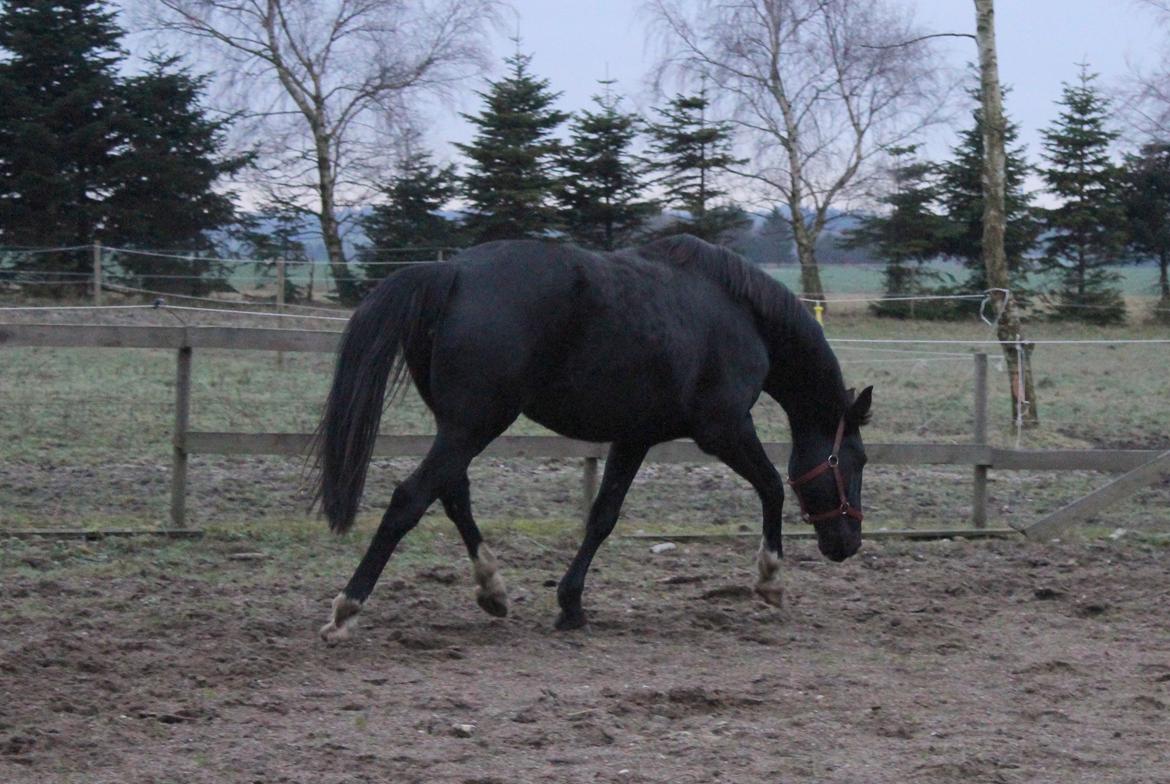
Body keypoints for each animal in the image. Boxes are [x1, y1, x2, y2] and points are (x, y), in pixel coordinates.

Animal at [313, 236, 870, 641]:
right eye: (857, 460)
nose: (848, 543)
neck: (739, 313)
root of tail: (449, 274)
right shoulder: (725, 427)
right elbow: (773, 486)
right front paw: (770, 581)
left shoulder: (635, 437)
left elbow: (602, 517)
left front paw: (571, 604)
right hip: (474, 424)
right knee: (411, 498)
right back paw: (347, 608)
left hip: (460, 426)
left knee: (452, 495)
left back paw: (492, 590)